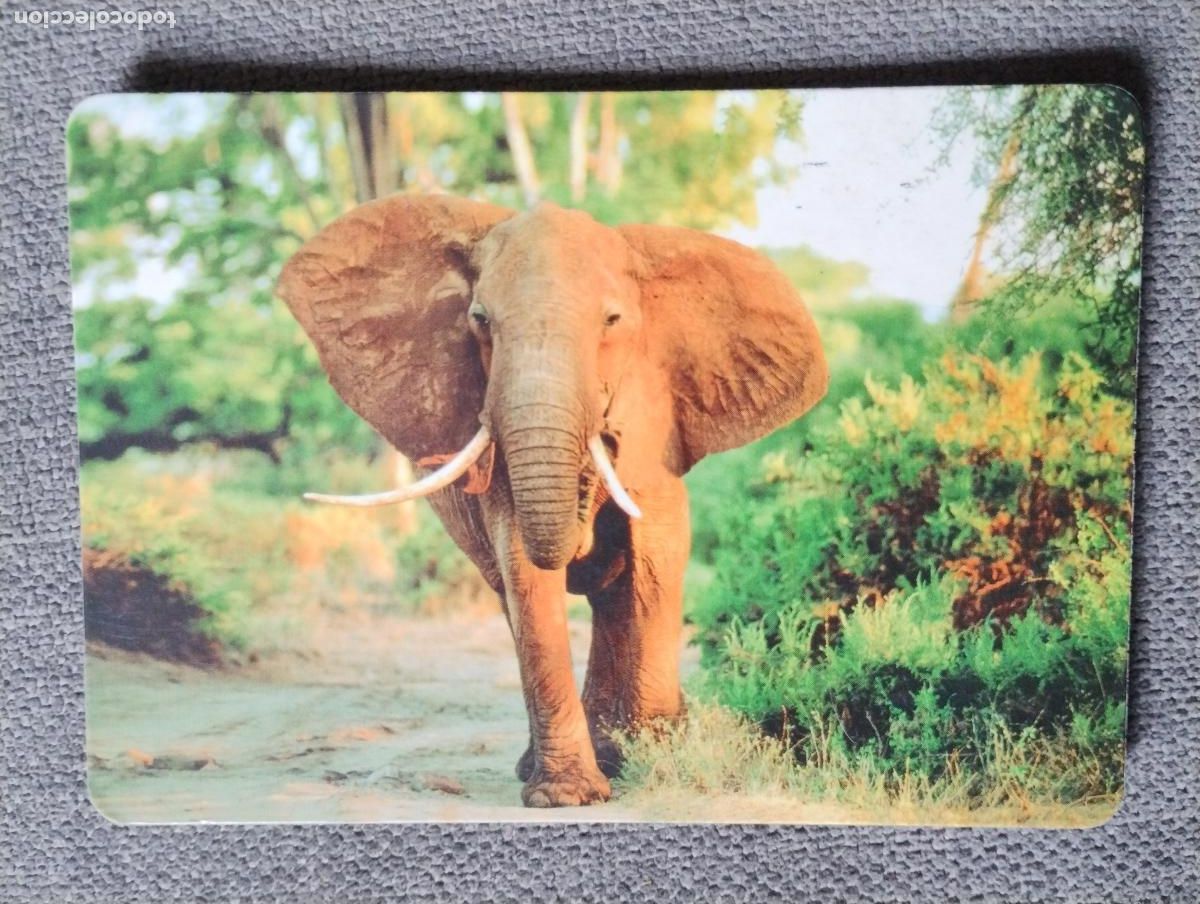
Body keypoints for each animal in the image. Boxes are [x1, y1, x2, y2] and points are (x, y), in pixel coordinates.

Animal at [276, 194, 828, 807]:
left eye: (612, 322)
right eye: (480, 320)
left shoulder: (655, 412)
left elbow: (655, 557)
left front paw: (656, 758)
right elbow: (524, 570)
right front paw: (567, 796)